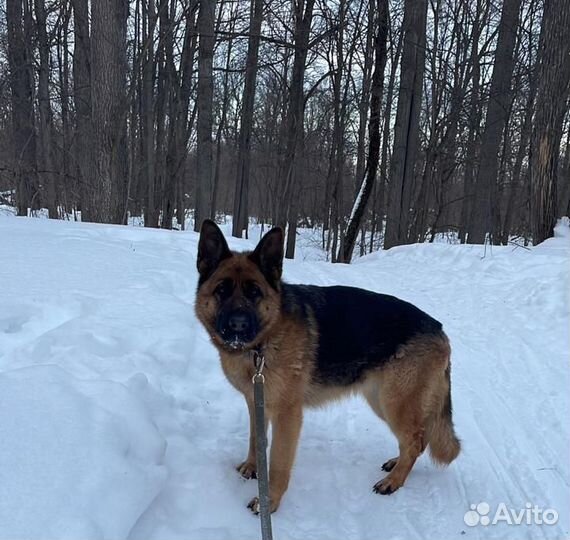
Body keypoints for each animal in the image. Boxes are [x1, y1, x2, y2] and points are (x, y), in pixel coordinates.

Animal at [194, 220, 458, 516]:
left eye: (255, 293)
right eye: (222, 290)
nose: (238, 325)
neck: (263, 342)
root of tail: (439, 328)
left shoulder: (287, 415)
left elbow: (278, 463)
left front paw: (269, 501)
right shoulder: (255, 402)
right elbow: (256, 439)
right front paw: (253, 466)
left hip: (394, 402)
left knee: (415, 440)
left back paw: (393, 481)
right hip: (381, 400)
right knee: (415, 440)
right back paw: (395, 464)